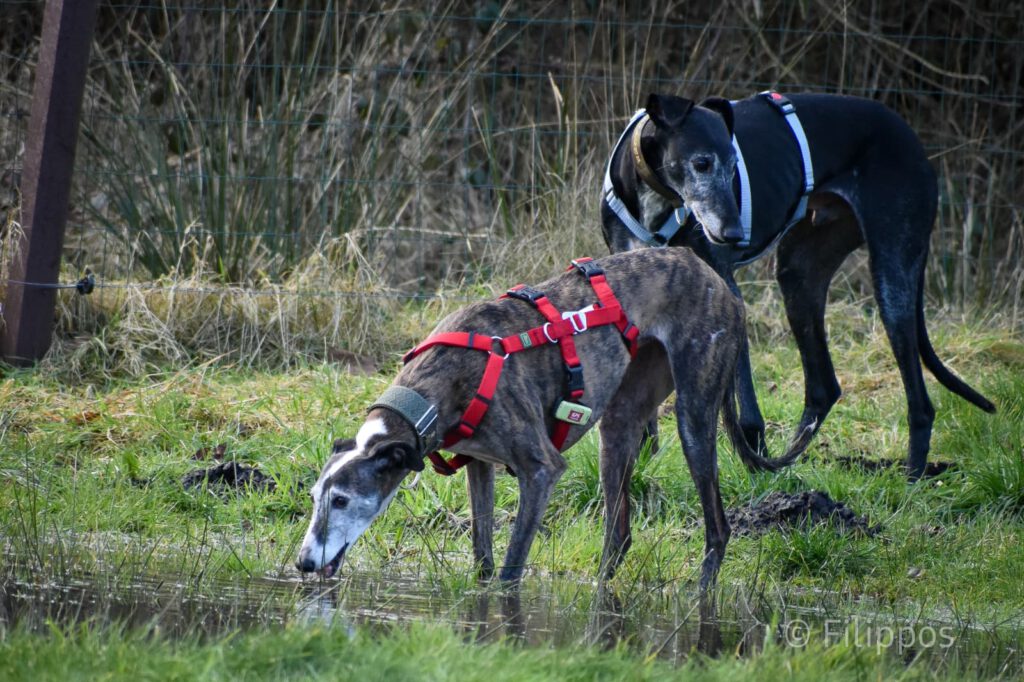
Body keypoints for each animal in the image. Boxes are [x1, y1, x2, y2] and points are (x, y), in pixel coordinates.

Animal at [295, 249, 813, 589]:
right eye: (315, 497)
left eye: (341, 501)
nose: (302, 564)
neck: (436, 387)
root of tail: (711, 273)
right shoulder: (479, 464)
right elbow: (483, 557)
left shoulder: (541, 470)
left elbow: (510, 567)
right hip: (618, 427)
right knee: (619, 534)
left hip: (694, 416)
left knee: (717, 527)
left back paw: (702, 591)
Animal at [601, 92, 996, 480]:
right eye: (701, 163)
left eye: (734, 167)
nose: (735, 234)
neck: (658, 199)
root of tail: (911, 138)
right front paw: (643, 460)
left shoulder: (727, 290)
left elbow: (745, 405)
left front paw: (751, 462)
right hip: (800, 275)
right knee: (823, 387)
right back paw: (792, 458)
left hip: (892, 273)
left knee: (919, 400)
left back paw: (911, 476)